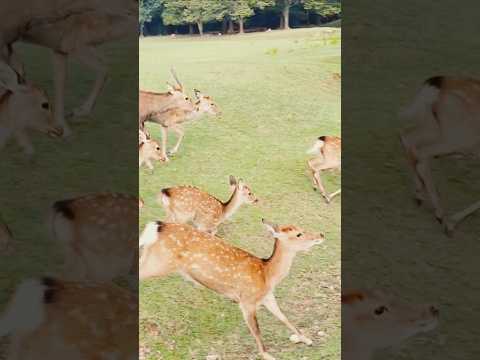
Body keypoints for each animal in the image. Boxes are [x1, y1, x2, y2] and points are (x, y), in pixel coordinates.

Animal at [140, 219, 326, 360]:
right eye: (299, 234)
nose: (321, 235)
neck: (267, 275)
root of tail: (158, 226)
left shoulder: (267, 297)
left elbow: (284, 317)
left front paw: (307, 339)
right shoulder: (246, 301)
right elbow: (256, 329)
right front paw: (267, 355)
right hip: (160, 262)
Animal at [400, 76, 480, 235]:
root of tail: (438, 82)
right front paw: (450, 224)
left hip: (435, 129)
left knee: (408, 138)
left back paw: (419, 195)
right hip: (456, 140)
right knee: (421, 153)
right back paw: (439, 214)